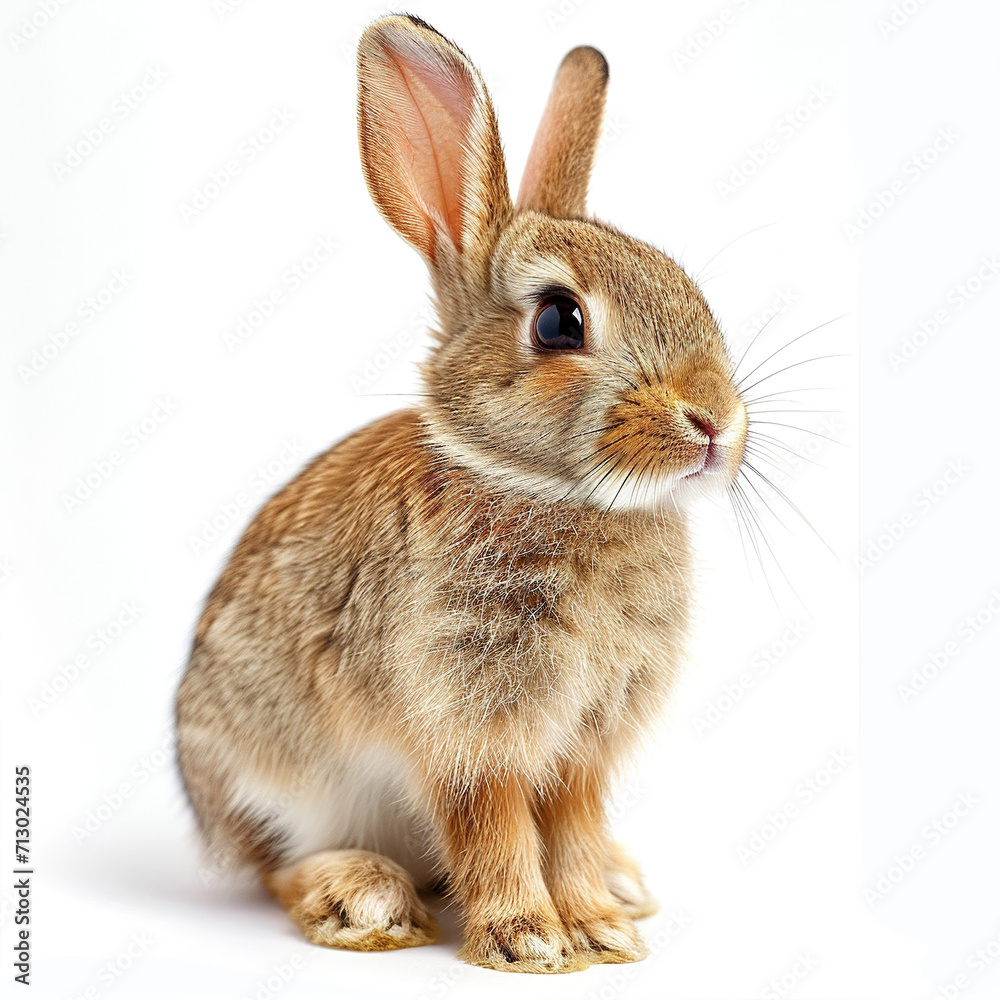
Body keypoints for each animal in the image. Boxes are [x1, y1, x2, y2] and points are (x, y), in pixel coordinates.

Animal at [175, 12, 747, 974]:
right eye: (559, 320)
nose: (714, 421)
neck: (556, 493)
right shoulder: (468, 722)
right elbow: (493, 826)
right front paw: (530, 939)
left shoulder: (583, 742)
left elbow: (572, 826)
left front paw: (601, 925)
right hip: (275, 781)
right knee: (273, 868)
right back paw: (360, 897)